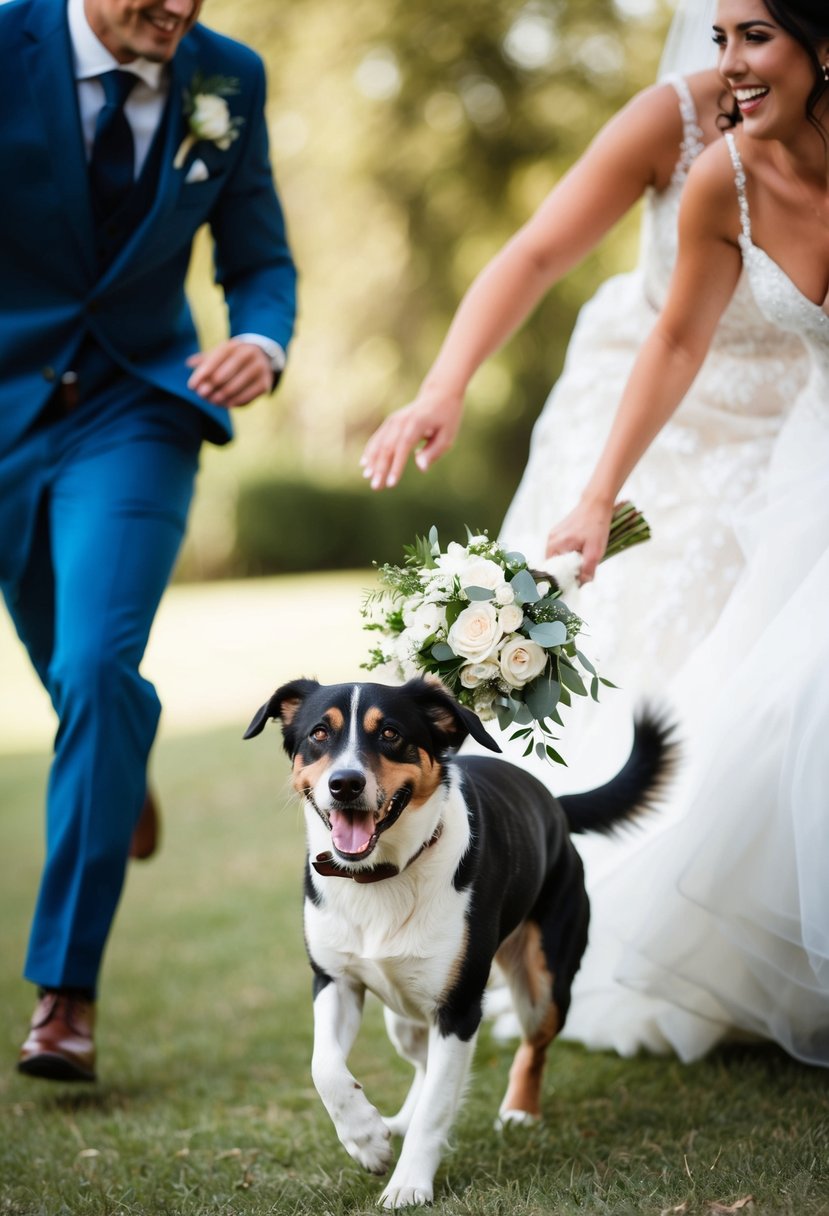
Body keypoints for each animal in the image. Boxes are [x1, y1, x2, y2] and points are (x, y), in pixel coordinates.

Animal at [244, 676, 670, 1206]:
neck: (381, 876)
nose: (345, 784)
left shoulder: (459, 1007)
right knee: (422, 1062)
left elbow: (438, 1107)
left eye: (390, 733)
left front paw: (407, 1183)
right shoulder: (334, 980)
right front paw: (367, 1140)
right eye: (319, 734)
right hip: (402, 1017)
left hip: (544, 983)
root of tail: (554, 802)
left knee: (532, 1044)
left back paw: (519, 1111)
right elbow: (324, 1067)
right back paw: (395, 1121)